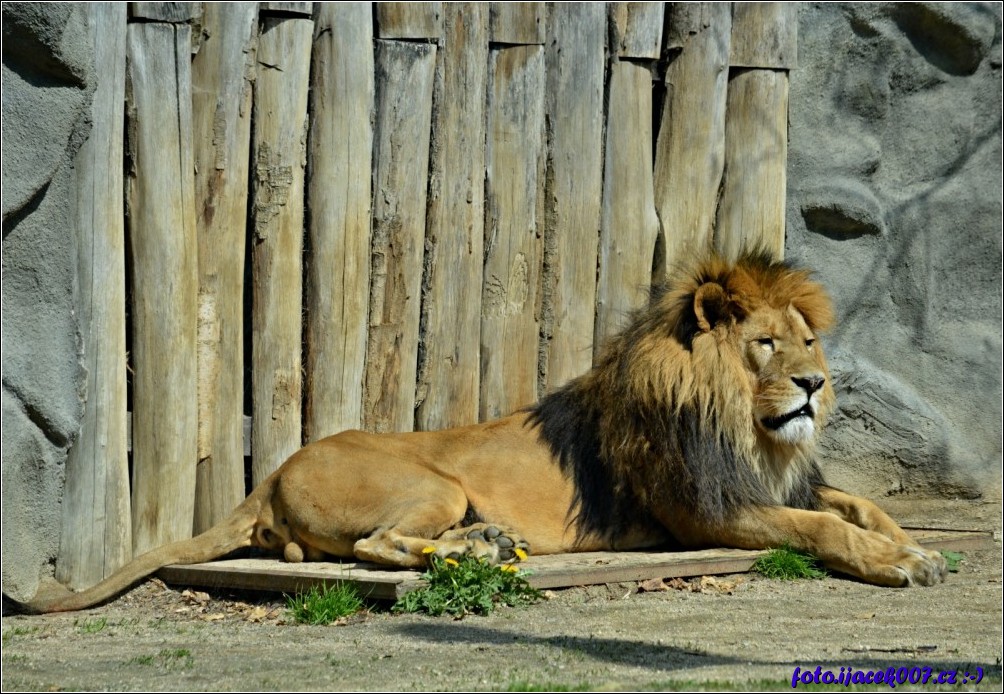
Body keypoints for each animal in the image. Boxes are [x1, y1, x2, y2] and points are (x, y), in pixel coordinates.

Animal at [21, 250, 947, 614]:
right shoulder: (706, 512)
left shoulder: (776, 480)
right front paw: (899, 564)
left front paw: (916, 546)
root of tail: (266, 476)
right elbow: (822, 526)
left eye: (807, 340)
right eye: (766, 345)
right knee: (377, 548)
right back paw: (477, 553)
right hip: (434, 481)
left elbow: (860, 505)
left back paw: (488, 544)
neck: (745, 428)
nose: (816, 386)